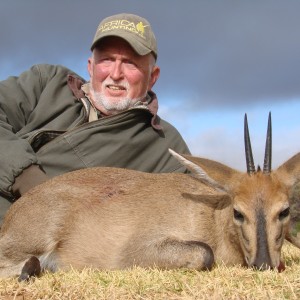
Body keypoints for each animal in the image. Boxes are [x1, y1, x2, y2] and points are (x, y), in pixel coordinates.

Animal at [0, 113, 300, 282]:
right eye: (239, 212)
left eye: (284, 210)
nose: (263, 264)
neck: (210, 215)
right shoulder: (138, 250)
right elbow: (205, 252)